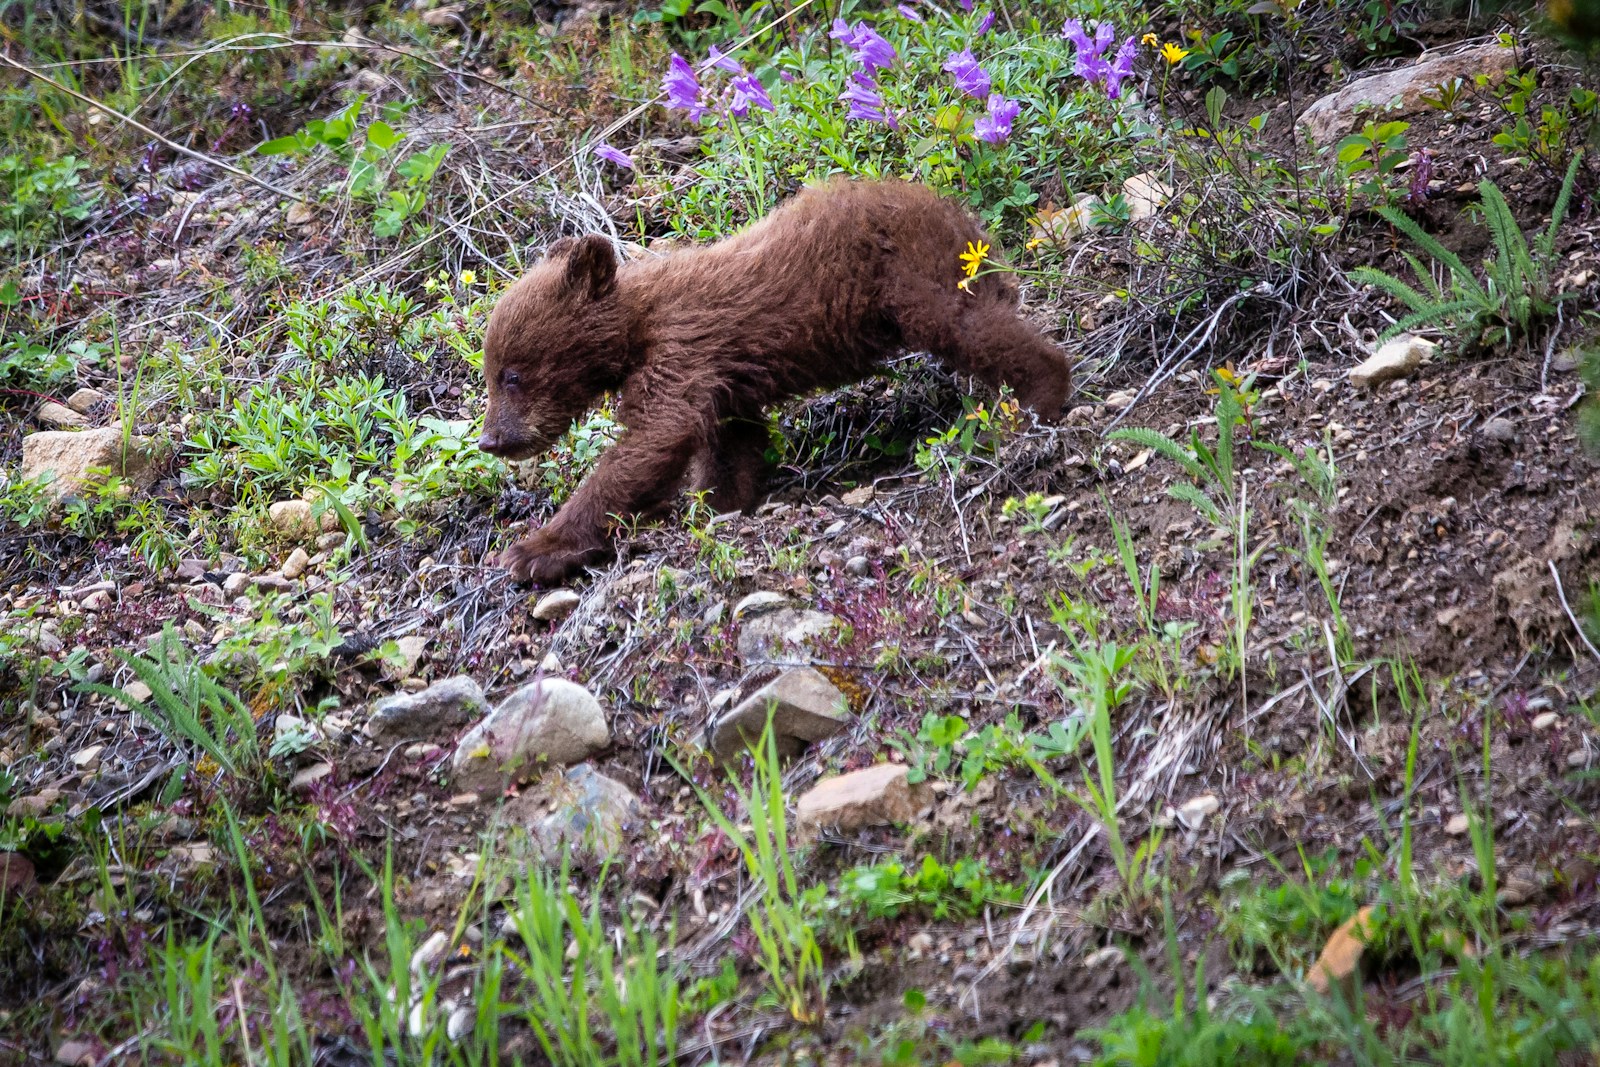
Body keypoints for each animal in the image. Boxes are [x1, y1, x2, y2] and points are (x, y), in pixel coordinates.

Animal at [477, 177, 1072, 585]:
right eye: (491, 373)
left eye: (512, 374)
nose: (491, 440)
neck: (636, 327)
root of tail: (960, 216)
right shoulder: (721, 378)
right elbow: (730, 441)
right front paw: (722, 503)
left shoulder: (682, 346)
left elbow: (654, 437)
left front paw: (535, 550)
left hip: (914, 275)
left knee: (972, 327)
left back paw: (1039, 402)